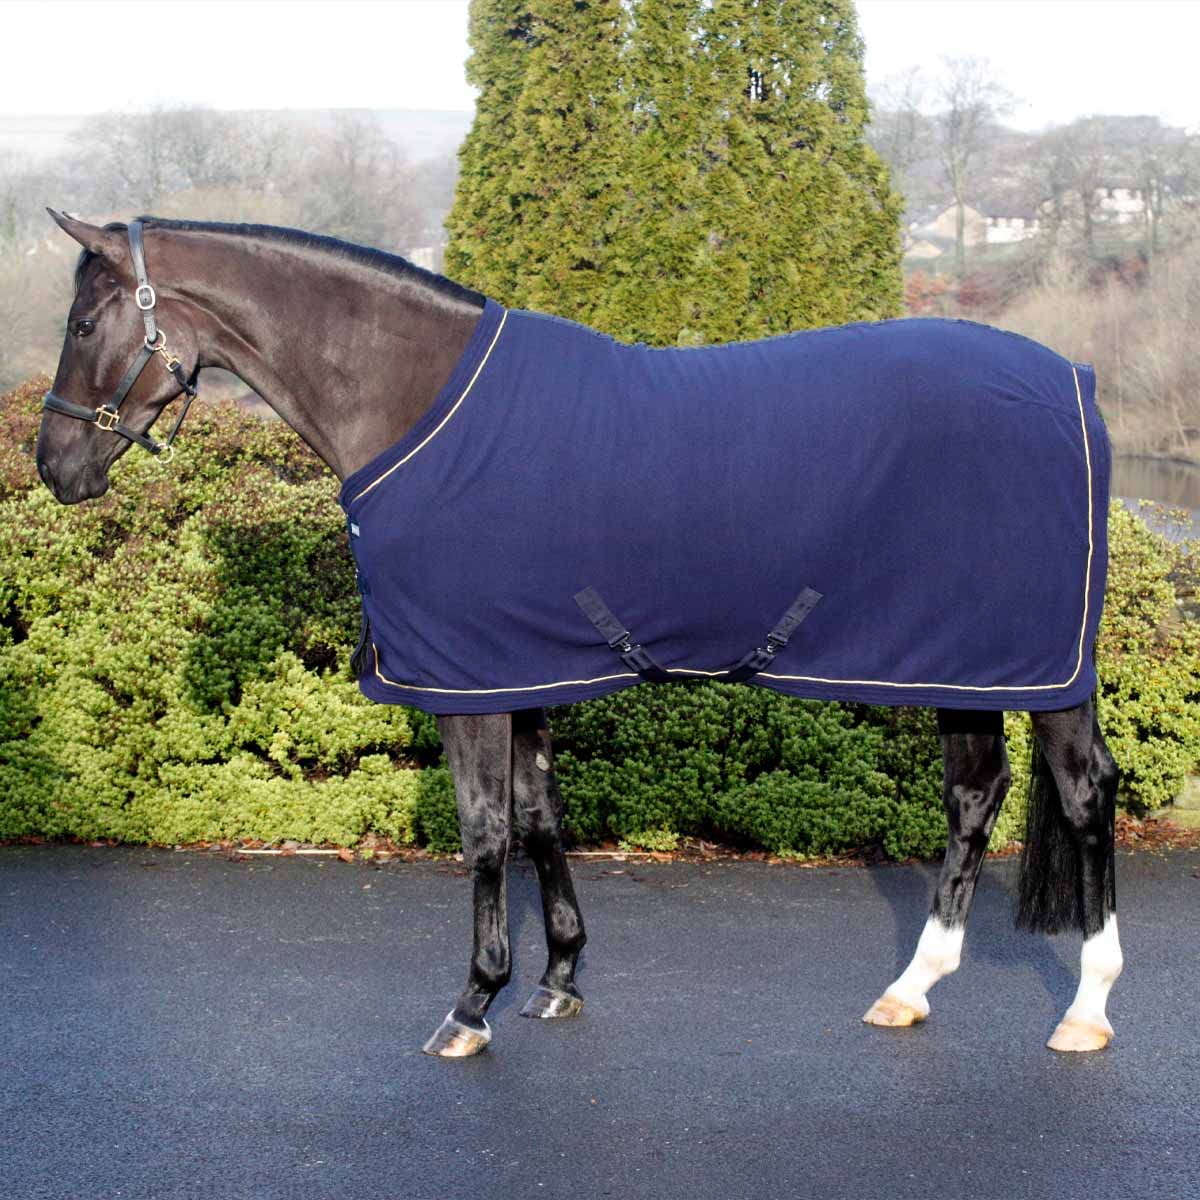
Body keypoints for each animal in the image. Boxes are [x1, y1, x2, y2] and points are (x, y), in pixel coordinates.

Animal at [35, 211, 1123, 1057]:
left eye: (85, 321)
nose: (54, 465)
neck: (417, 402)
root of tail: (1076, 381)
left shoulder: (471, 683)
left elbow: (482, 831)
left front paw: (473, 1003)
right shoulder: (519, 672)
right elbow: (538, 817)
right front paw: (558, 978)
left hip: (1042, 673)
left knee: (1083, 792)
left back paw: (1087, 1009)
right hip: (965, 668)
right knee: (975, 794)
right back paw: (910, 990)